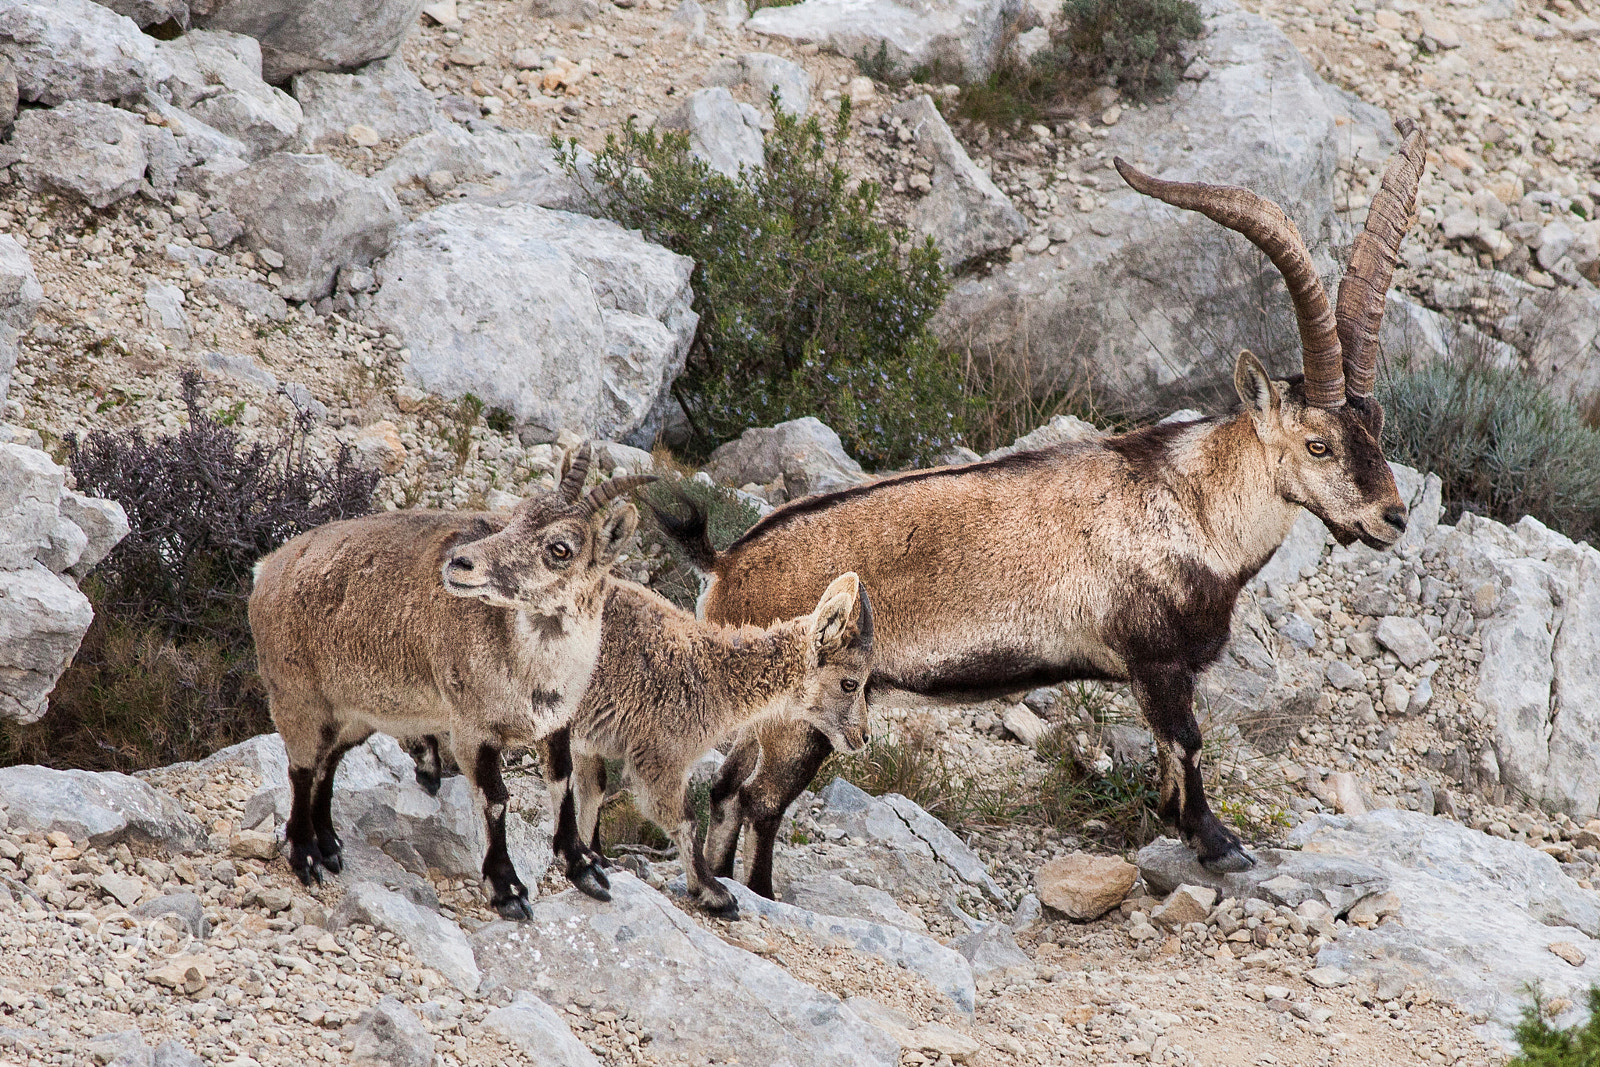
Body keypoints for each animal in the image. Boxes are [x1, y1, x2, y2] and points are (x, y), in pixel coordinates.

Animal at [248, 446, 654, 918]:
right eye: (516, 516)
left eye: (560, 548)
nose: (460, 562)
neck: (532, 670)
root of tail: (265, 570)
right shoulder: (472, 727)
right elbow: (495, 798)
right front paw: (507, 889)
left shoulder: (557, 722)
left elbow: (563, 780)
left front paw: (585, 868)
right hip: (296, 693)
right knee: (301, 767)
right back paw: (305, 853)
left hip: (356, 712)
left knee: (327, 763)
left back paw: (330, 844)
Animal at [533, 571, 873, 919]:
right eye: (850, 683)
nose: (863, 736)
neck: (714, 673)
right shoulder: (660, 754)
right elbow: (685, 820)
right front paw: (715, 893)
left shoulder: (588, 741)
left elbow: (593, 789)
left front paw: (594, 858)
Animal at [654, 120, 1429, 897]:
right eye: (1319, 444)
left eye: (1379, 424)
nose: (1392, 518)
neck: (1195, 505)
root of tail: (723, 567)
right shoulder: (1156, 659)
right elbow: (1187, 743)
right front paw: (1217, 844)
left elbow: (1166, 756)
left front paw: (1174, 824)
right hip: (804, 714)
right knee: (761, 800)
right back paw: (758, 893)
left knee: (726, 791)